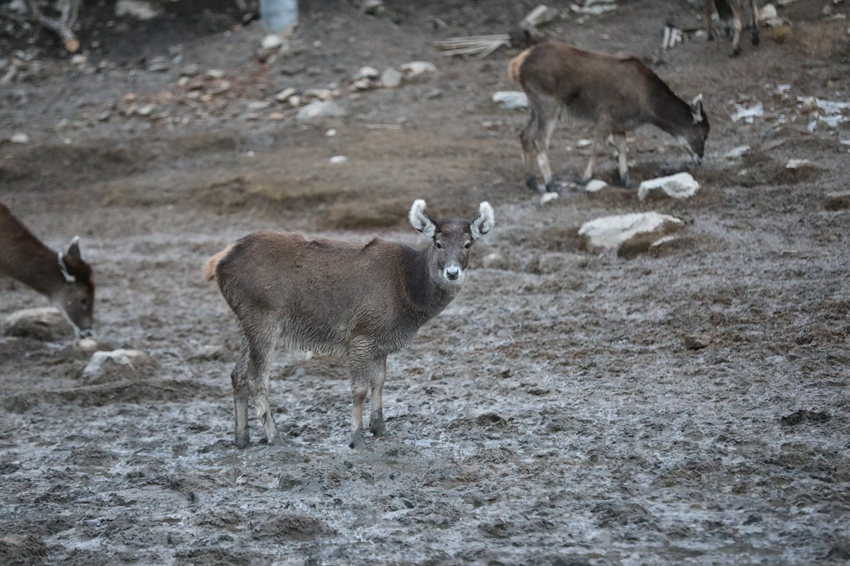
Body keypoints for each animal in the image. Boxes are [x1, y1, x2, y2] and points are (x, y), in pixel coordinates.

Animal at [203, 200, 494, 452]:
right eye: (438, 243)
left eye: (468, 244)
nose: (452, 273)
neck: (407, 297)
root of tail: (217, 262)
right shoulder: (361, 333)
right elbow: (360, 388)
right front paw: (356, 437)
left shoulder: (381, 340)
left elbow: (380, 381)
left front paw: (379, 428)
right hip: (263, 316)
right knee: (256, 378)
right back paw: (275, 437)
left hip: (246, 322)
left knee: (237, 374)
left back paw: (242, 438)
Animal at [506, 41, 704, 193]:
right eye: (702, 133)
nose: (700, 159)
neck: (647, 107)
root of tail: (516, 65)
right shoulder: (607, 116)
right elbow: (597, 148)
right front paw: (585, 179)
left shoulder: (619, 124)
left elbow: (622, 148)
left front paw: (626, 179)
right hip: (548, 104)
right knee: (539, 141)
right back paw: (550, 184)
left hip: (535, 106)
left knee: (525, 136)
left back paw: (531, 182)